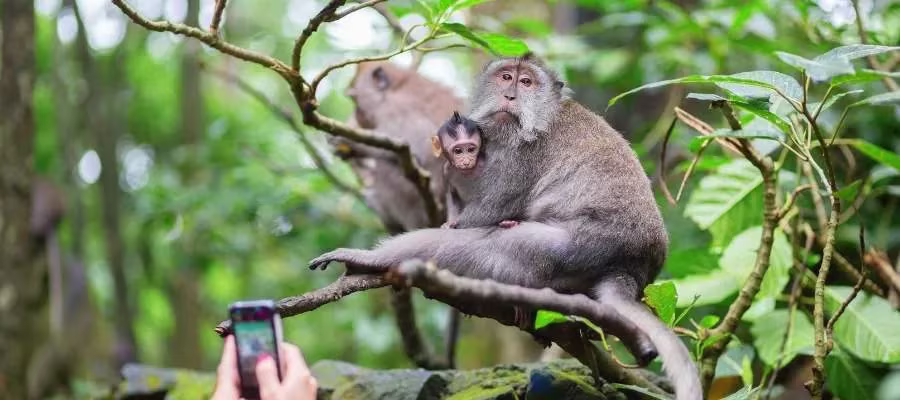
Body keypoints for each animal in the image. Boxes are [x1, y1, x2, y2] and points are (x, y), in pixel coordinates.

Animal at [309, 54, 702, 399]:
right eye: (505, 77)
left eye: (526, 82)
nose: (510, 96)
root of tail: (631, 267)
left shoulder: (519, 151)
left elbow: (489, 210)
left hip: (571, 247)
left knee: (478, 246)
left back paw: (370, 260)